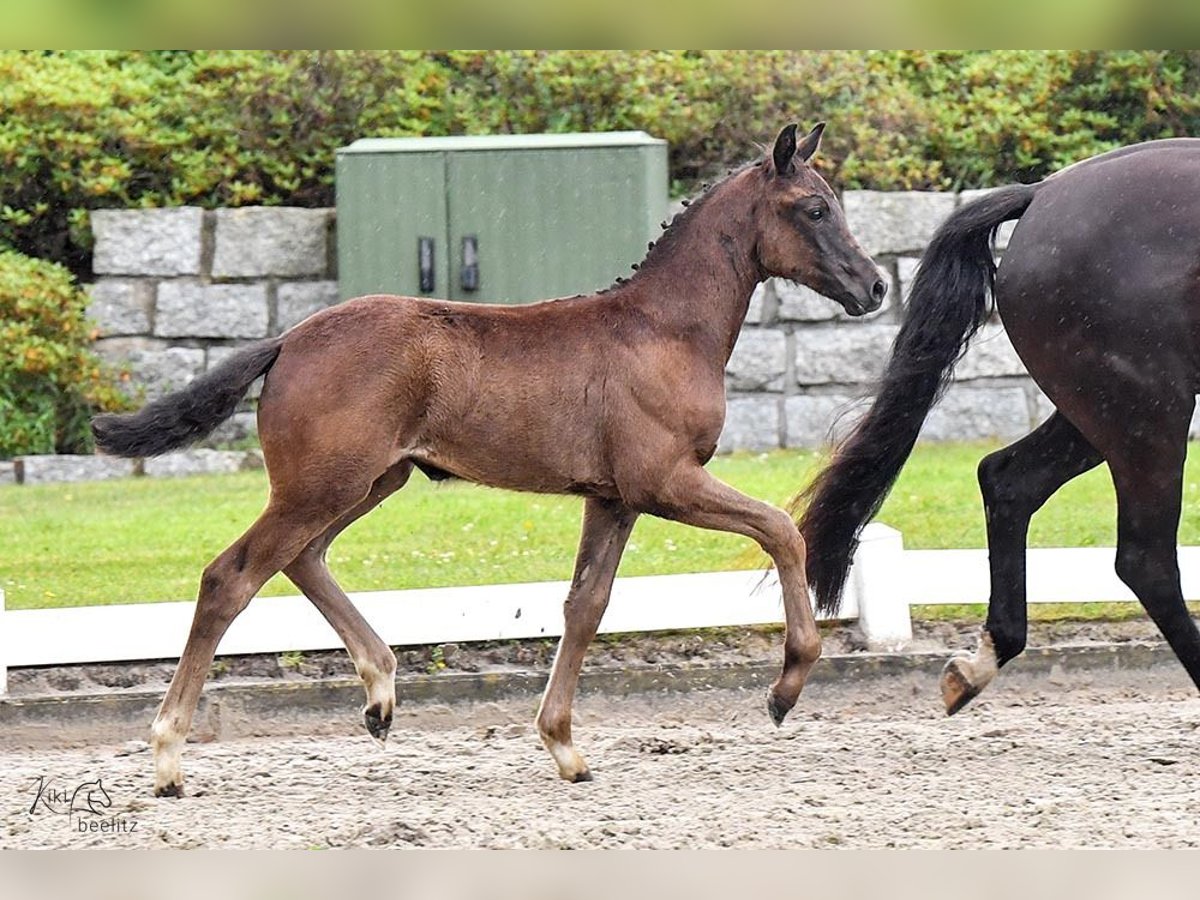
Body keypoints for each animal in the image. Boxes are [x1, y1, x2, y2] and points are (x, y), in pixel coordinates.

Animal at [91, 123, 892, 801]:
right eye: (815, 208)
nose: (875, 285)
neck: (663, 330)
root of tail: (287, 340)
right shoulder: (664, 481)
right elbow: (780, 529)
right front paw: (785, 687)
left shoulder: (612, 498)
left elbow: (586, 605)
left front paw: (563, 745)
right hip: (326, 484)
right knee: (231, 578)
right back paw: (168, 756)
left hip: (371, 480)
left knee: (303, 558)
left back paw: (380, 694)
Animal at [796, 139, 1200, 720]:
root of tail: (1043, 194)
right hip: (1144, 410)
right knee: (1146, 560)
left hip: (1102, 412)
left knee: (1009, 480)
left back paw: (979, 664)